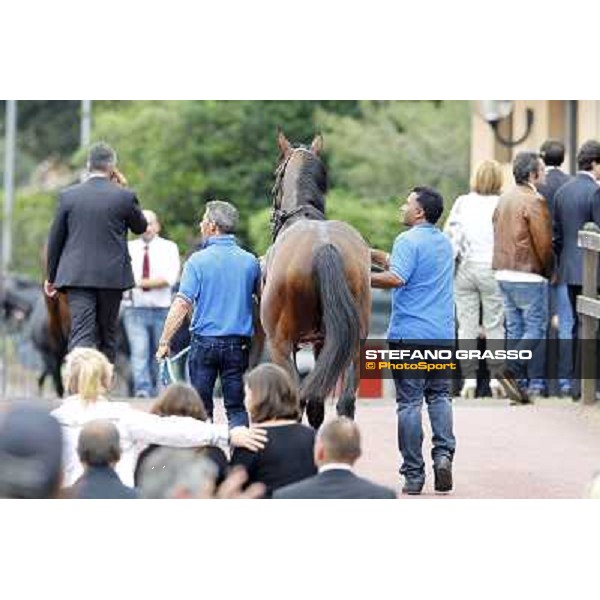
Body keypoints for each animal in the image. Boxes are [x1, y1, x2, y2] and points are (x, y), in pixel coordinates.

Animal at [262, 133, 370, 428]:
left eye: (276, 173)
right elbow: (318, 406)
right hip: (352, 342)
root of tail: (323, 245)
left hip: (280, 344)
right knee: (343, 401)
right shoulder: (324, 342)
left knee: (298, 400)